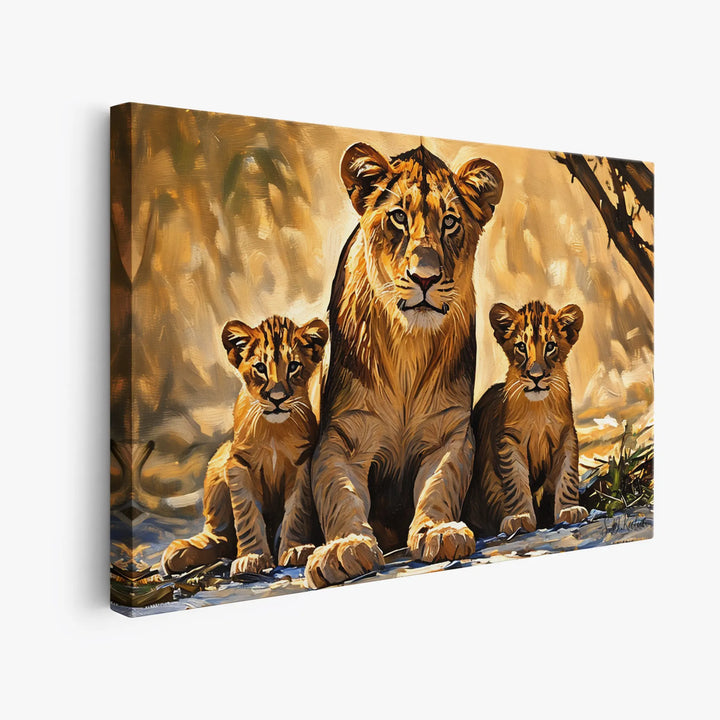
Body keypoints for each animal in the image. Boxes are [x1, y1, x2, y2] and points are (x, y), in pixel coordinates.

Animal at [161, 315, 328, 577]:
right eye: (260, 367)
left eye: (293, 366)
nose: (277, 398)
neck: (274, 431)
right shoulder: (238, 463)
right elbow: (246, 515)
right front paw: (252, 558)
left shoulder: (301, 464)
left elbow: (297, 511)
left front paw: (295, 549)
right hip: (219, 459)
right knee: (220, 536)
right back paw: (181, 552)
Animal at [304, 142, 503, 588]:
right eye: (398, 216)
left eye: (450, 222)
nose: (424, 277)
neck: (407, 346)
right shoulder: (342, 437)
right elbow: (339, 493)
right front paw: (343, 549)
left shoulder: (451, 432)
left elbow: (439, 484)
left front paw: (440, 530)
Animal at [462, 300, 589, 536]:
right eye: (521, 347)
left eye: (551, 346)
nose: (535, 376)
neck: (538, 408)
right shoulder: (508, 441)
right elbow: (516, 482)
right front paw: (520, 518)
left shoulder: (567, 435)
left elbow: (567, 475)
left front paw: (569, 510)